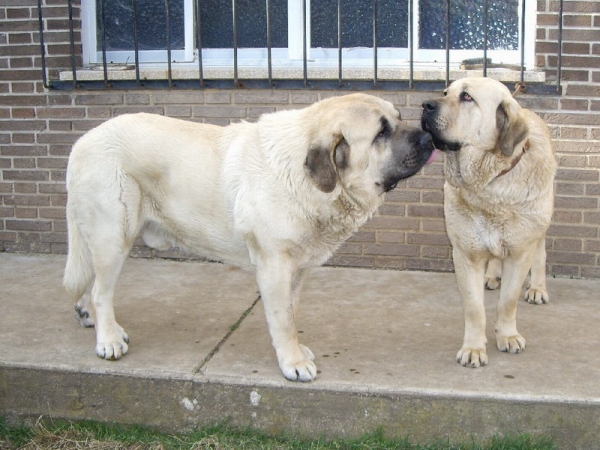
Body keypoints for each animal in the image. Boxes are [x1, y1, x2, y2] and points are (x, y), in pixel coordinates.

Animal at [63, 93, 434, 382]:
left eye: (399, 118)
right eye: (381, 132)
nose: (429, 138)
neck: (304, 178)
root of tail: (81, 142)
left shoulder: (297, 270)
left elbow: (291, 314)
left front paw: (296, 350)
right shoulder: (275, 267)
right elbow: (282, 320)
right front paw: (293, 362)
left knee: (91, 283)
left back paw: (89, 317)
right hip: (114, 237)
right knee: (101, 291)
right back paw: (108, 339)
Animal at [422, 76, 556, 366]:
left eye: (467, 97)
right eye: (445, 93)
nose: (425, 105)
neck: (488, 184)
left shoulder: (520, 253)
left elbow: (508, 301)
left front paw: (507, 336)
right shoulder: (465, 254)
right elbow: (474, 307)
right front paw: (473, 348)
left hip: (539, 222)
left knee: (540, 253)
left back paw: (537, 288)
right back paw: (492, 275)